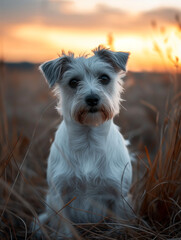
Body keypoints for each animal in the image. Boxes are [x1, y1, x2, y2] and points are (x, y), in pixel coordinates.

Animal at [34, 46, 132, 238]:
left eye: (104, 78)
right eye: (73, 82)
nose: (92, 98)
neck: (88, 138)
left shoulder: (120, 196)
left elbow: (119, 225)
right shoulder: (59, 196)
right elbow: (65, 228)